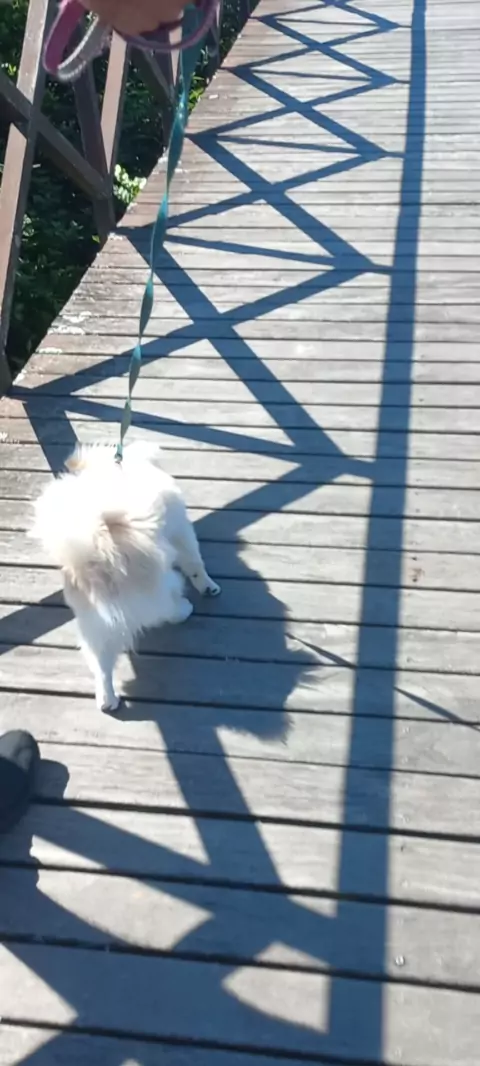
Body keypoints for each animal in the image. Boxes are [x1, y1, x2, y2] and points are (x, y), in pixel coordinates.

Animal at [32, 441, 221, 712]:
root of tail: (98, 562)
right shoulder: (183, 532)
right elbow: (195, 563)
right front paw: (208, 585)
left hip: (95, 626)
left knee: (101, 667)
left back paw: (107, 700)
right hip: (161, 588)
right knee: (166, 609)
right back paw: (183, 610)